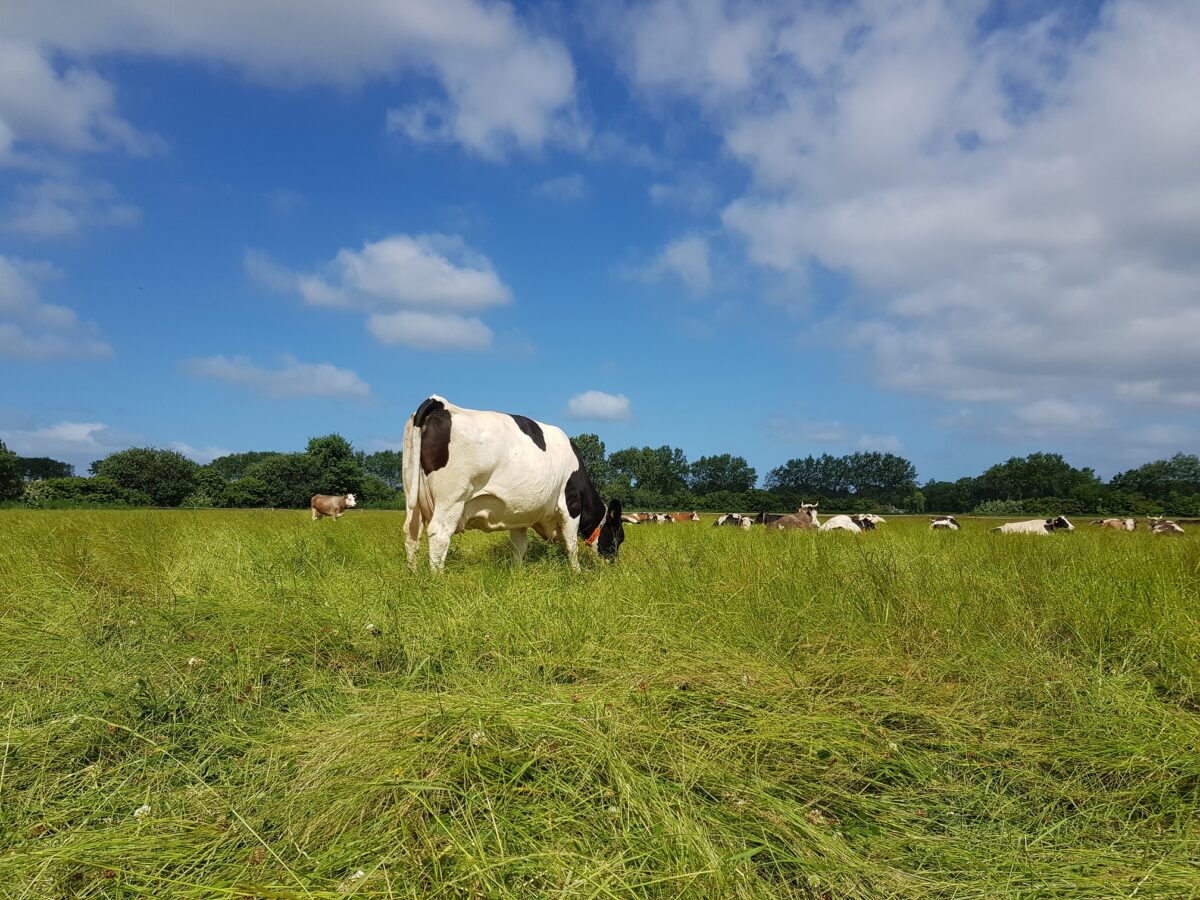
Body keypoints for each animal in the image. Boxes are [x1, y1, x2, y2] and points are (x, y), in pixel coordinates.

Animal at [405, 393, 628, 571]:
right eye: (619, 537)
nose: (615, 564)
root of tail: (440, 403)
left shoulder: (518, 515)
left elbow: (519, 547)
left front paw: (517, 573)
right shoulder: (570, 506)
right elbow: (571, 544)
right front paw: (577, 573)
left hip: (412, 496)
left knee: (411, 533)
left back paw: (413, 575)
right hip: (451, 498)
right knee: (439, 534)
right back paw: (437, 578)